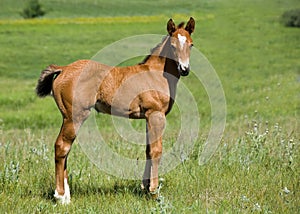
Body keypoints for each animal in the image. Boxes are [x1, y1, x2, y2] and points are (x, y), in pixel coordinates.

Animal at [36, 17, 196, 204]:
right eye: (172, 45)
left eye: (191, 44)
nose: (184, 69)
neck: (155, 74)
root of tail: (63, 69)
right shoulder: (156, 115)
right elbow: (156, 150)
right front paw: (154, 191)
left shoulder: (147, 117)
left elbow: (148, 150)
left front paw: (144, 187)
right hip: (75, 116)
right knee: (62, 147)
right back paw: (61, 197)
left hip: (67, 117)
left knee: (65, 149)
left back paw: (67, 195)